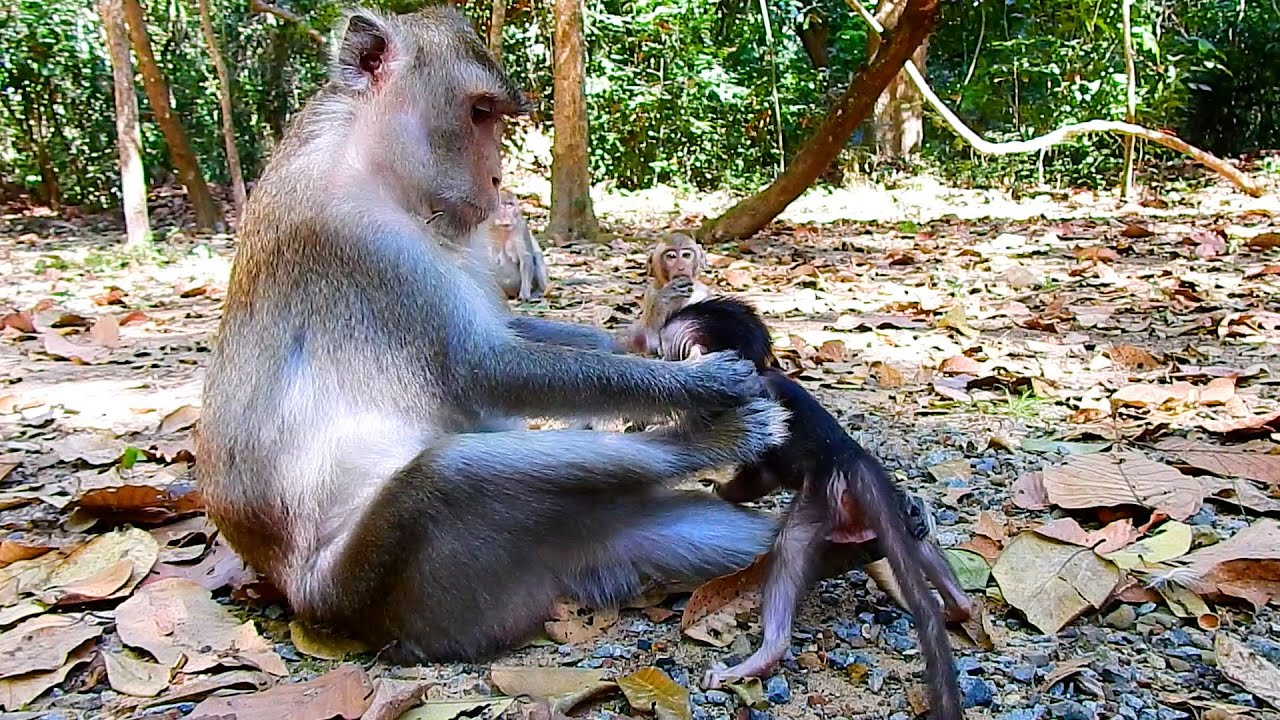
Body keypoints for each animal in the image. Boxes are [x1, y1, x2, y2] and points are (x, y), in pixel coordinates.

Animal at [194, 6, 791, 666]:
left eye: (498, 116)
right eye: (479, 113)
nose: (499, 176)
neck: (368, 163)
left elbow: (503, 331)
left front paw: (644, 337)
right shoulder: (357, 238)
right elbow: (480, 366)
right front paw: (699, 382)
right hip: (394, 584)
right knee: (450, 473)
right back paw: (704, 442)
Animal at [656, 298, 972, 720]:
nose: (659, 362)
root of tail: (851, 461)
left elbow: (760, 475)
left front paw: (718, 488)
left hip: (822, 499)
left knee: (789, 548)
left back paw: (765, 655)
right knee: (914, 537)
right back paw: (957, 604)